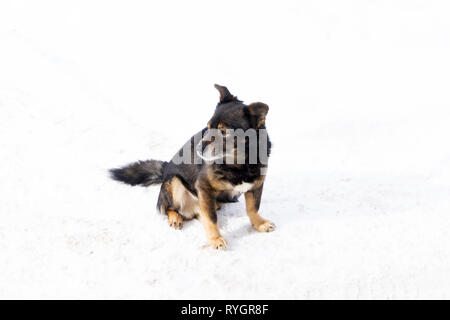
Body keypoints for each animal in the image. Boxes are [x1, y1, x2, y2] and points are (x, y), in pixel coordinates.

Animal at [111, 85, 276, 250]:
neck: (238, 163)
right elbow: (211, 218)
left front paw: (259, 223)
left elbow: (253, 207)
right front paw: (215, 238)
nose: (198, 148)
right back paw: (175, 218)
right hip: (174, 182)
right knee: (169, 208)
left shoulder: (256, 185)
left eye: (223, 131)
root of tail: (164, 170)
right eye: (208, 127)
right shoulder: (204, 187)